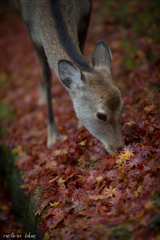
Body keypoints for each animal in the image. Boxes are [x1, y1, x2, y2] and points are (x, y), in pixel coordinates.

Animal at [17, 0, 125, 154]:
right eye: (101, 115)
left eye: (122, 107)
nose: (120, 147)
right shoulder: (31, 30)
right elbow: (46, 75)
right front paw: (52, 136)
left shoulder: (86, 16)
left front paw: (79, 124)